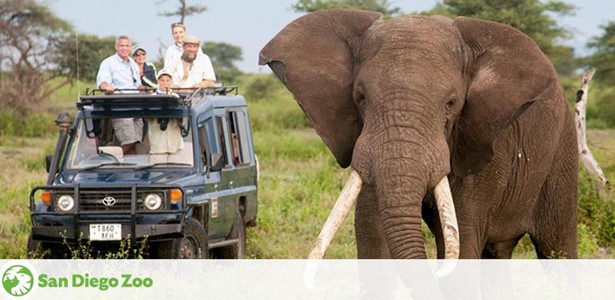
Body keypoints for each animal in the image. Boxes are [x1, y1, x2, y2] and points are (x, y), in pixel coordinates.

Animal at [258, 8, 576, 258]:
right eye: (360, 96)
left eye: (451, 103)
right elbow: (373, 232)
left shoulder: (481, 141)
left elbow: (462, 242)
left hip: (563, 148)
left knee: (557, 246)